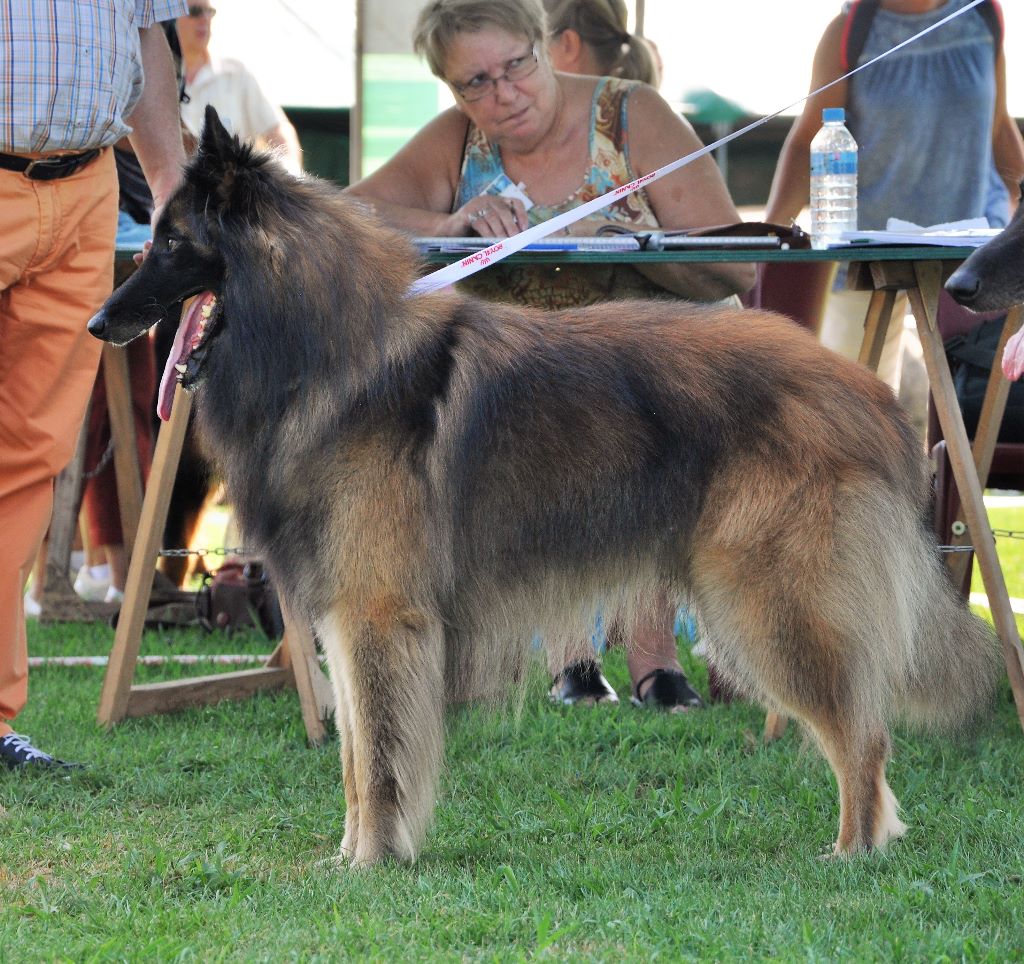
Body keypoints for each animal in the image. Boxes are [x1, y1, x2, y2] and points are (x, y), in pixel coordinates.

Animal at [88, 109, 999, 868]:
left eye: (172, 244)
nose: (99, 323)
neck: (324, 347)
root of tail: (868, 394)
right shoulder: (346, 619)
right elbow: (351, 758)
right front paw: (350, 858)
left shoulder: (377, 615)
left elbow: (377, 759)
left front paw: (372, 862)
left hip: (769, 605)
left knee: (863, 736)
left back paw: (852, 854)